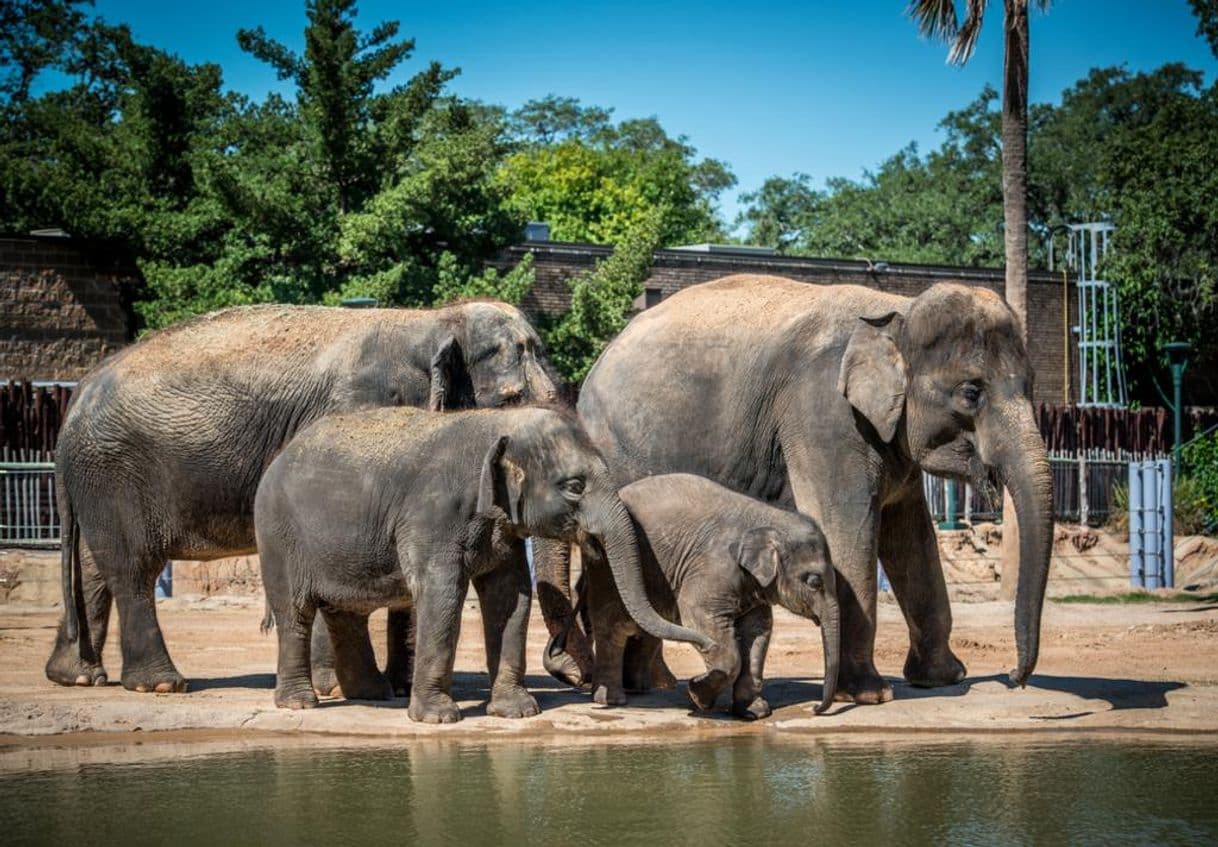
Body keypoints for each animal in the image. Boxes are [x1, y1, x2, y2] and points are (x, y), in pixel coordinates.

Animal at [46, 301, 557, 692]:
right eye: (511, 402)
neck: (433, 320)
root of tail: (77, 395)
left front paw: (396, 686)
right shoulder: (360, 413)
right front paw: (338, 687)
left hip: (98, 478)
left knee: (94, 567)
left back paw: (77, 676)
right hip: (113, 472)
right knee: (131, 568)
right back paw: (160, 685)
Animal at [256, 407, 711, 726]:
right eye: (574, 486)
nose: (705, 645)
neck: (496, 423)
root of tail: (276, 460)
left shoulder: (502, 528)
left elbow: (511, 598)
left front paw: (519, 711)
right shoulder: (431, 517)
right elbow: (442, 597)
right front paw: (439, 719)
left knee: (345, 613)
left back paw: (373, 694)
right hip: (278, 538)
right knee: (295, 612)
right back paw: (300, 703)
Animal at [557, 472, 842, 716]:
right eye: (814, 581)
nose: (816, 709)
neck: (767, 515)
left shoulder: (753, 585)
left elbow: (758, 631)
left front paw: (754, 712)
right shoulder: (713, 568)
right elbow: (698, 617)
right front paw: (699, 696)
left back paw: (639, 690)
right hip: (606, 569)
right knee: (613, 626)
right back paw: (612, 700)